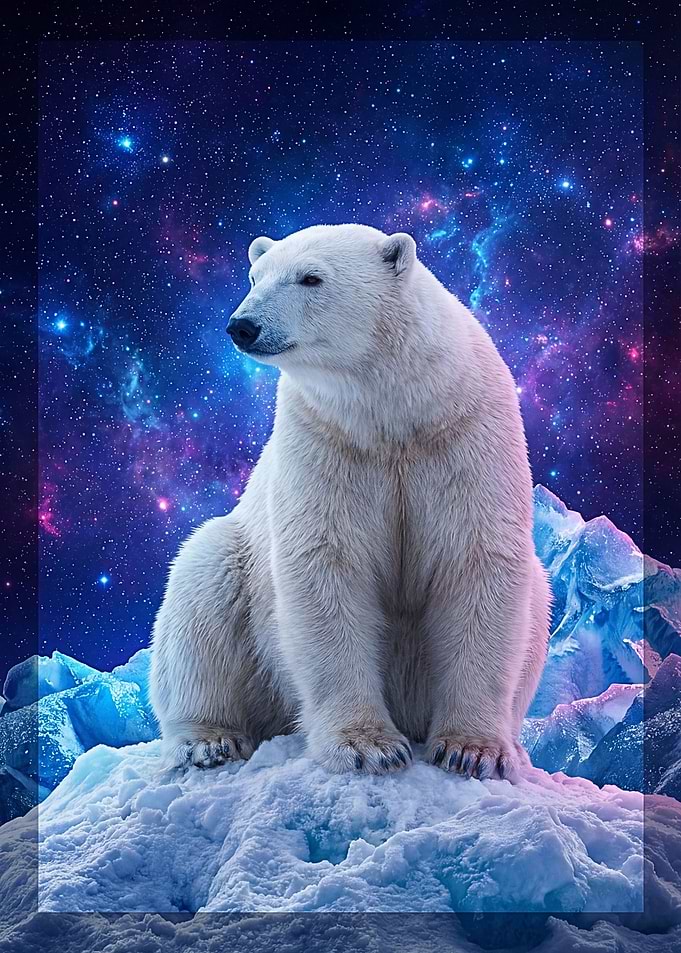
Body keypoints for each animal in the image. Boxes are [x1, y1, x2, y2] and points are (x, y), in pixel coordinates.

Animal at [149, 223, 551, 781]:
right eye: (255, 275)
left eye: (310, 278)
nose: (242, 326)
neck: (393, 413)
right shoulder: (327, 441)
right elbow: (327, 565)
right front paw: (369, 747)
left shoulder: (465, 434)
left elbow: (478, 562)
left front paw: (471, 750)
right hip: (236, 571)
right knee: (202, 587)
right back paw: (209, 740)